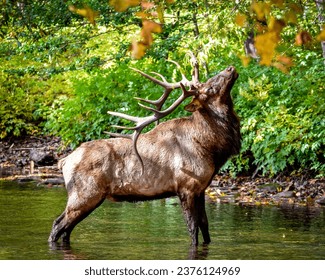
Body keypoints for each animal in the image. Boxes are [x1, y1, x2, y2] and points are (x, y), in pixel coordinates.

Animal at [48, 54, 240, 245]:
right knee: (57, 225)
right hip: (84, 194)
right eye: (210, 88)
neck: (212, 150)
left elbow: (205, 226)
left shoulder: (201, 189)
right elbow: (193, 229)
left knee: (66, 230)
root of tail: (64, 161)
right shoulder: (186, 186)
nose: (231, 68)